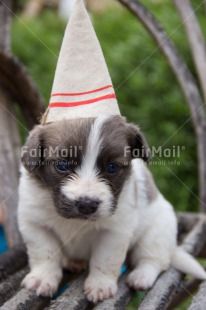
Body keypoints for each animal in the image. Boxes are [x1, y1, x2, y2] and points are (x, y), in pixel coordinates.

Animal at [18, 115, 206, 302]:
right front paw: (42, 278)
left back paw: (142, 275)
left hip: (157, 233)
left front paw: (100, 285)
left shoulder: (114, 232)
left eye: (112, 168)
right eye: (62, 165)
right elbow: (45, 253)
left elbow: (105, 260)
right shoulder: (35, 224)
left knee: (153, 260)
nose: (87, 205)